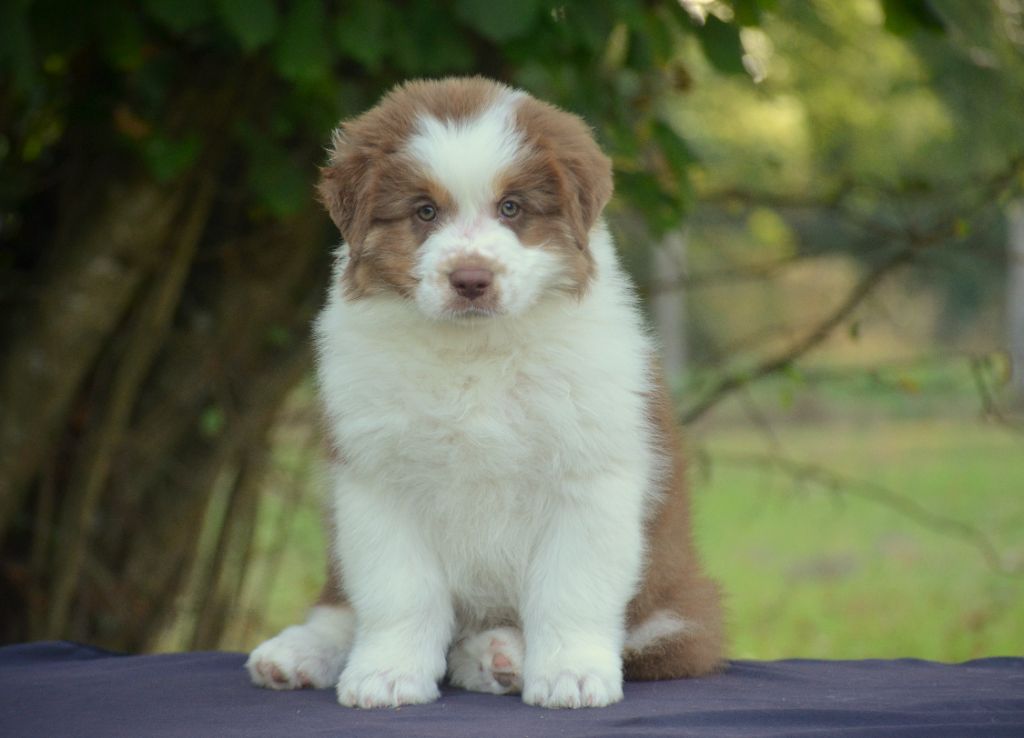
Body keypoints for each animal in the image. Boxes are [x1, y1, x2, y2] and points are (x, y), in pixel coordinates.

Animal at [246, 77, 724, 709]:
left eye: (511, 208)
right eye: (424, 211)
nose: (471, 279)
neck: (476, 351)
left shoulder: (590, 474)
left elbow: (571, 586)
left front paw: (571, 674)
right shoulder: (377, 478)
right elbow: (397, 591)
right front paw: (387, 674)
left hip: (679, 612)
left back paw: (500, 655)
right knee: (341, 605)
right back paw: (296, 654)